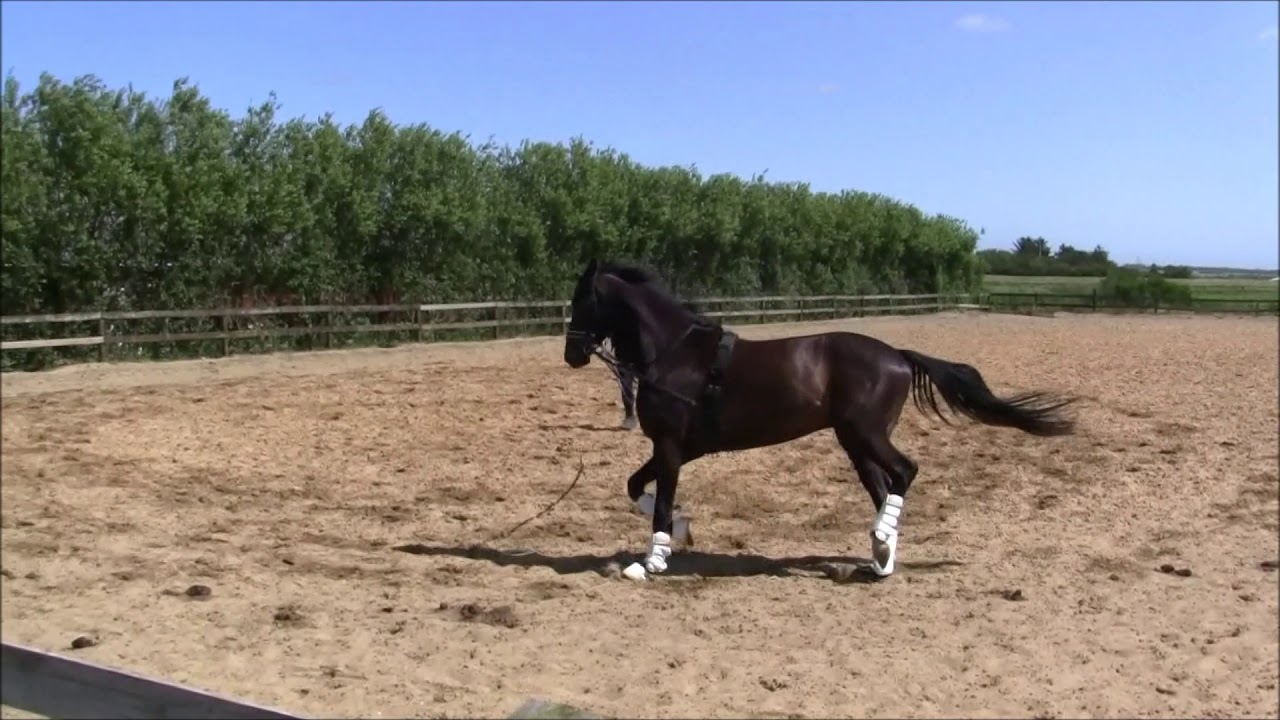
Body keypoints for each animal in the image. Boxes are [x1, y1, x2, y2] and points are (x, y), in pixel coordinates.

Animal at [562, 259, 1077, 580]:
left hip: (866, 434)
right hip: (854, 440)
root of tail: (897, 356)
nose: (571, 355)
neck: (675, 352)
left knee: (904, 472)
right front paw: (681, 535)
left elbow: (661, 503)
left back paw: (882, 543)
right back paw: (881, 556)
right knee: (883, 485)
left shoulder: (670, 446)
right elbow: (636, 486)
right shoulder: (677, 449)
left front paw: (652, 561)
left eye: (582, 300)